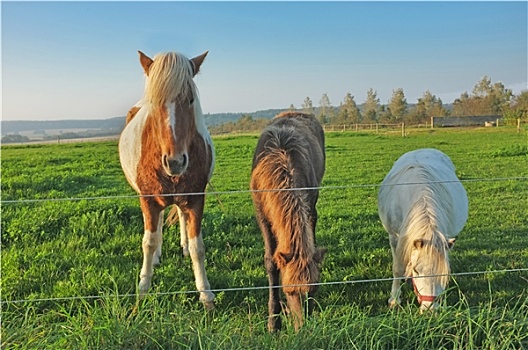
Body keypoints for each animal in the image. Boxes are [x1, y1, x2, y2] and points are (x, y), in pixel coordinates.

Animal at [120, 50, 216, 308]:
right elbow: (149, 241)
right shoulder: (148, 200)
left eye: (191, 100)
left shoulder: (195, 199)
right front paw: (143, 288)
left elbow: (198, 247)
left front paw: (206, 294)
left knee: (181, 217)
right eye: (154, 103)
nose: (175, 162)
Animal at [251, 111, 326, 330]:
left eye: (313, 290)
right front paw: (273, 321)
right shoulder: (262, 216)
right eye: (289, 291)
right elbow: (271, 262)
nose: (303, 328)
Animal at [378, 148, 468, 312]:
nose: (429, 309)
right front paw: (394, 300)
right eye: (417, 271)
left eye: (443, 273)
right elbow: (397, 268)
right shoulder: (394, 237)